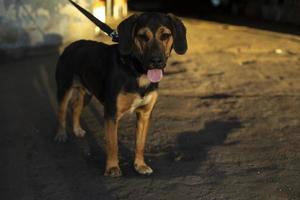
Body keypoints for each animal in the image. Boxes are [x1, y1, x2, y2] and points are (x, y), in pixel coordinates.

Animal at [54, 12, 188, 177]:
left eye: (165, 35)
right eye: (142, 36)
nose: (156, 60)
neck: (137, 72)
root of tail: (72, 45)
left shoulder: (145, 114)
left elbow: (140, 143)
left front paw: (140, 165)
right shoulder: (111, 114)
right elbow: (113, 144)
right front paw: (112, 167)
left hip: (87, 93)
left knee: (76, 107)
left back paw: (77, 129)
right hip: (64, 87)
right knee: (61, 111)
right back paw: (60, 134)